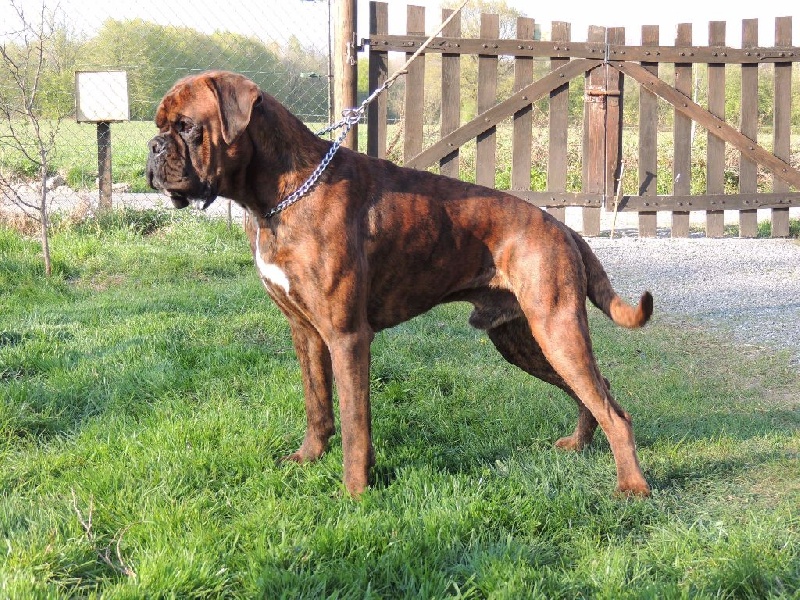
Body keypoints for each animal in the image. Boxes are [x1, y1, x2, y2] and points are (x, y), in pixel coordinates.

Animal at [147, 69, 652, 496]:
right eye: (161, 125)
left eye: (187, 127)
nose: (152, 147)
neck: (283, 191)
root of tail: (564, 228)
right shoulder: (305, 332)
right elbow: (317, 405)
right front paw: (309, 458)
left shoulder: (347, 337)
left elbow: (355, 423)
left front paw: (354, 493)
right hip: (525, 340)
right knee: (596, 392)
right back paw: (580, 444)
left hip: (556, 329)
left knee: (614, 410)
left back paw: (632, 486)